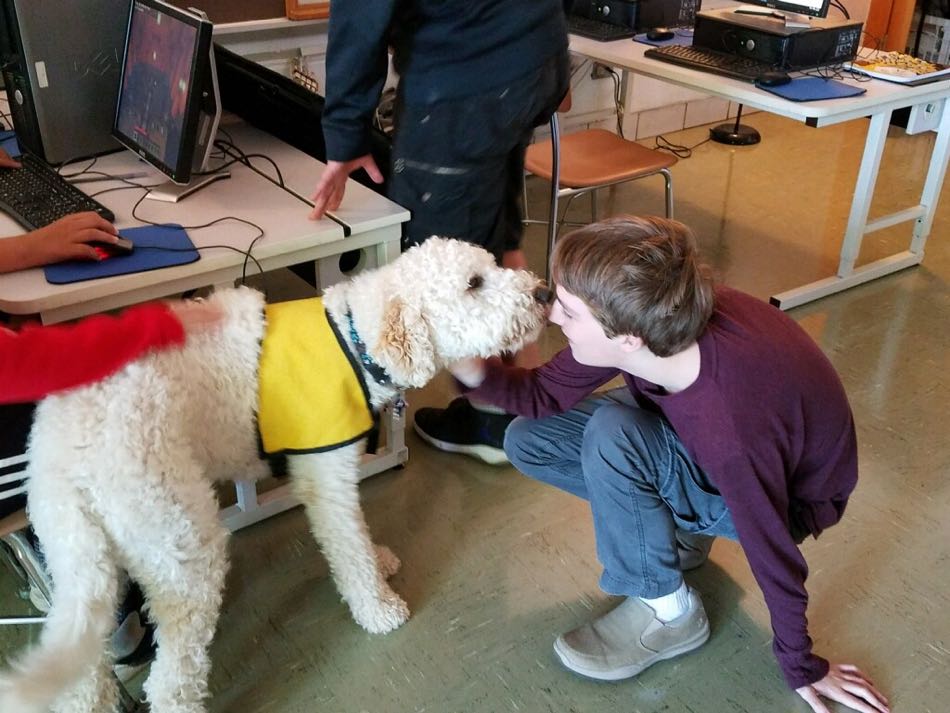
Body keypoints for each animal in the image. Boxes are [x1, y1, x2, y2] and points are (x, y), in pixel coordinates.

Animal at [1, 238, 552, 712]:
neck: (356, 340)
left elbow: (358, 541)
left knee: (83, 673)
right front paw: (377, 605)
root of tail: (63, 452)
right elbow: (348, 545)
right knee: (170, 677)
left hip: (82, 561)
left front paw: (379, 563)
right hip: (180, 545)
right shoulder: (328, 478)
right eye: (474, 283)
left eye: (493, 266)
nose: (544, 293)